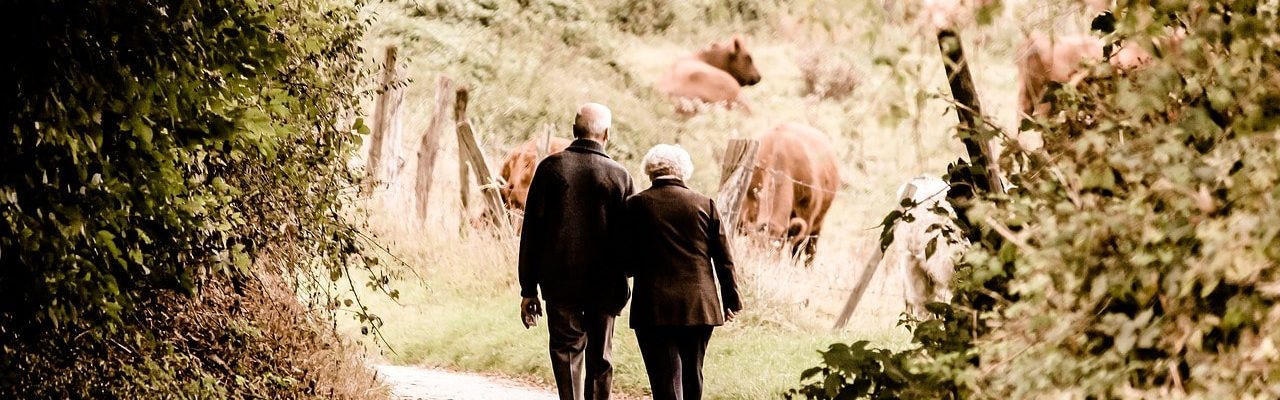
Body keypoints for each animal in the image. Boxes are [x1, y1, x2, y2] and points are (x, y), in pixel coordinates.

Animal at [742, 121, 839, 265]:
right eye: (758, 247)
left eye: (777, 248)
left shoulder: (806, 218)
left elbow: (796, 251)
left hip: (818, 224)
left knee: (810, 252)